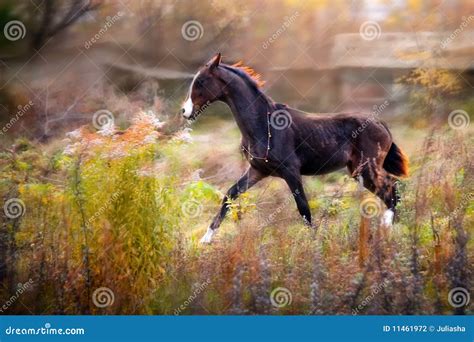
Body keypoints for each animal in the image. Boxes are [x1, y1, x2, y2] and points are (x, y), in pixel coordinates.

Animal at [181, 52, 408, 243]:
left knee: (392, 188)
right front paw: (205, 240)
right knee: (390, 191)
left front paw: (315, 243)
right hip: (358, 171)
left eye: (201, 81)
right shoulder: (258, 170)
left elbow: (303, 208)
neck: (264, 124)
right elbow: (230, 195)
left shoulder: (291, 171)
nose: (184, 111)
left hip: (367, 167)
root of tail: (381, 123)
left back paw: (387, 228)